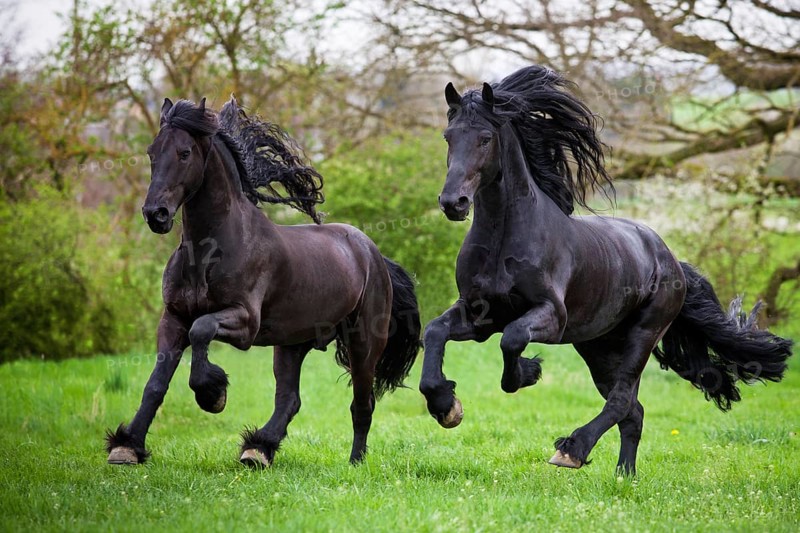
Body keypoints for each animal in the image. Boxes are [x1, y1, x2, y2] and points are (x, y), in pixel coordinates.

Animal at [105, 96, 421, 467]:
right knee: (290, 399)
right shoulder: (173, 319)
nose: (156, 214)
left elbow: (202, 330)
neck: (209, 251)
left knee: (362, 403)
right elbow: (155, 385)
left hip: (363, 342)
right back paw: (258, 449)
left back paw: (354, 462)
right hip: (292, 343)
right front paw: (127, 446)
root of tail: (374, 254)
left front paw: (213, 394)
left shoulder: (244, 322)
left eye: (184, 152)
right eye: (152, 151)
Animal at [419, 65, 793, 475]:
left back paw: (572, 450)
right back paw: (623, 476)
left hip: (642, 337)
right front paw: (446, 406)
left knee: (621, 400)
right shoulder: (480, 314)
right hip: (598, 346)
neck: (505, 239)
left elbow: (513, 339)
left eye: (485, 138)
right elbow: (434, 331)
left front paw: (529, 372)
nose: (453, 202)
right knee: (633, 411)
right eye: (448, 136)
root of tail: (670, 259)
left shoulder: (551, 316)